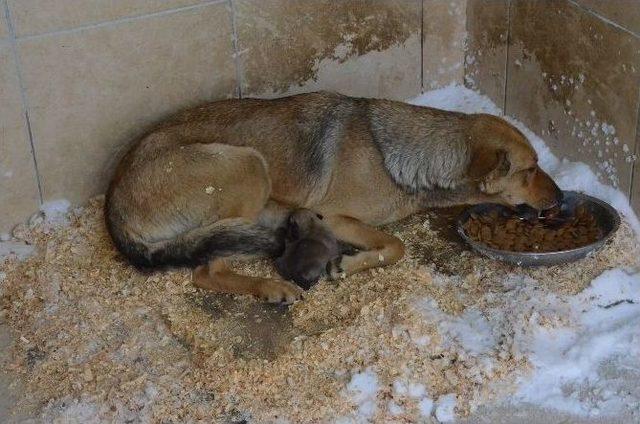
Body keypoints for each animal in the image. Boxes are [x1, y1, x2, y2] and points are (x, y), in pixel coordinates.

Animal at [104, 90, 560, 302]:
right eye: (530, 170)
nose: (559, 199)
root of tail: (113, 203)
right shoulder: (334, 217)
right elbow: (395, 246)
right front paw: (349, 264)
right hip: (247, 164)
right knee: (205, 270)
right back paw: (270, 286)